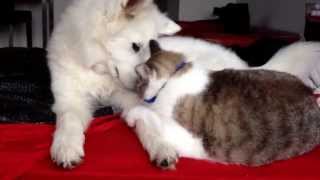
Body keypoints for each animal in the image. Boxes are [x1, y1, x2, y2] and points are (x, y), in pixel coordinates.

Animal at [47, 0, 180, 169]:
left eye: (149, 51)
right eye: (135, 46)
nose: (144, 89)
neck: (101, 71)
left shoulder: (131, 100)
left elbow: (148, 123)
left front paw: (162, 147)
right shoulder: (70, 99)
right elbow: (69, 121)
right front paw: (66, 147)